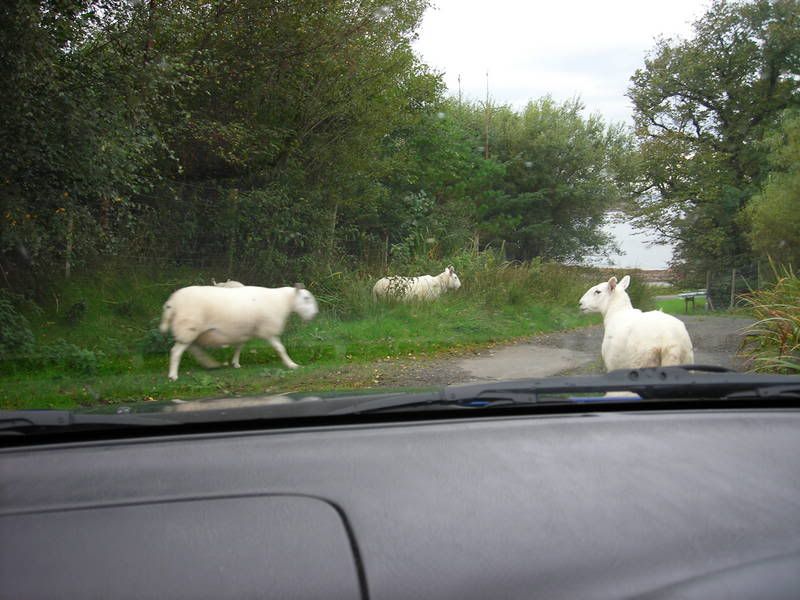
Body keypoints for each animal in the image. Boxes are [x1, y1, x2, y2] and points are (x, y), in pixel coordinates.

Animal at [158, 282, 318, 380]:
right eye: (306, 298)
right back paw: (173, 375)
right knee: (177, 351)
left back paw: (210, 363)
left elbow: (239, 346)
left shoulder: (245, 330)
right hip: (188, 326)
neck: (284, 301)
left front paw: (235, 363)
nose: (315, 314)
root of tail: (171, 303)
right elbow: (280, 348)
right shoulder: (267, 329)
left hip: (191, 330)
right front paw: (291, 364)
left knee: (193, 348)